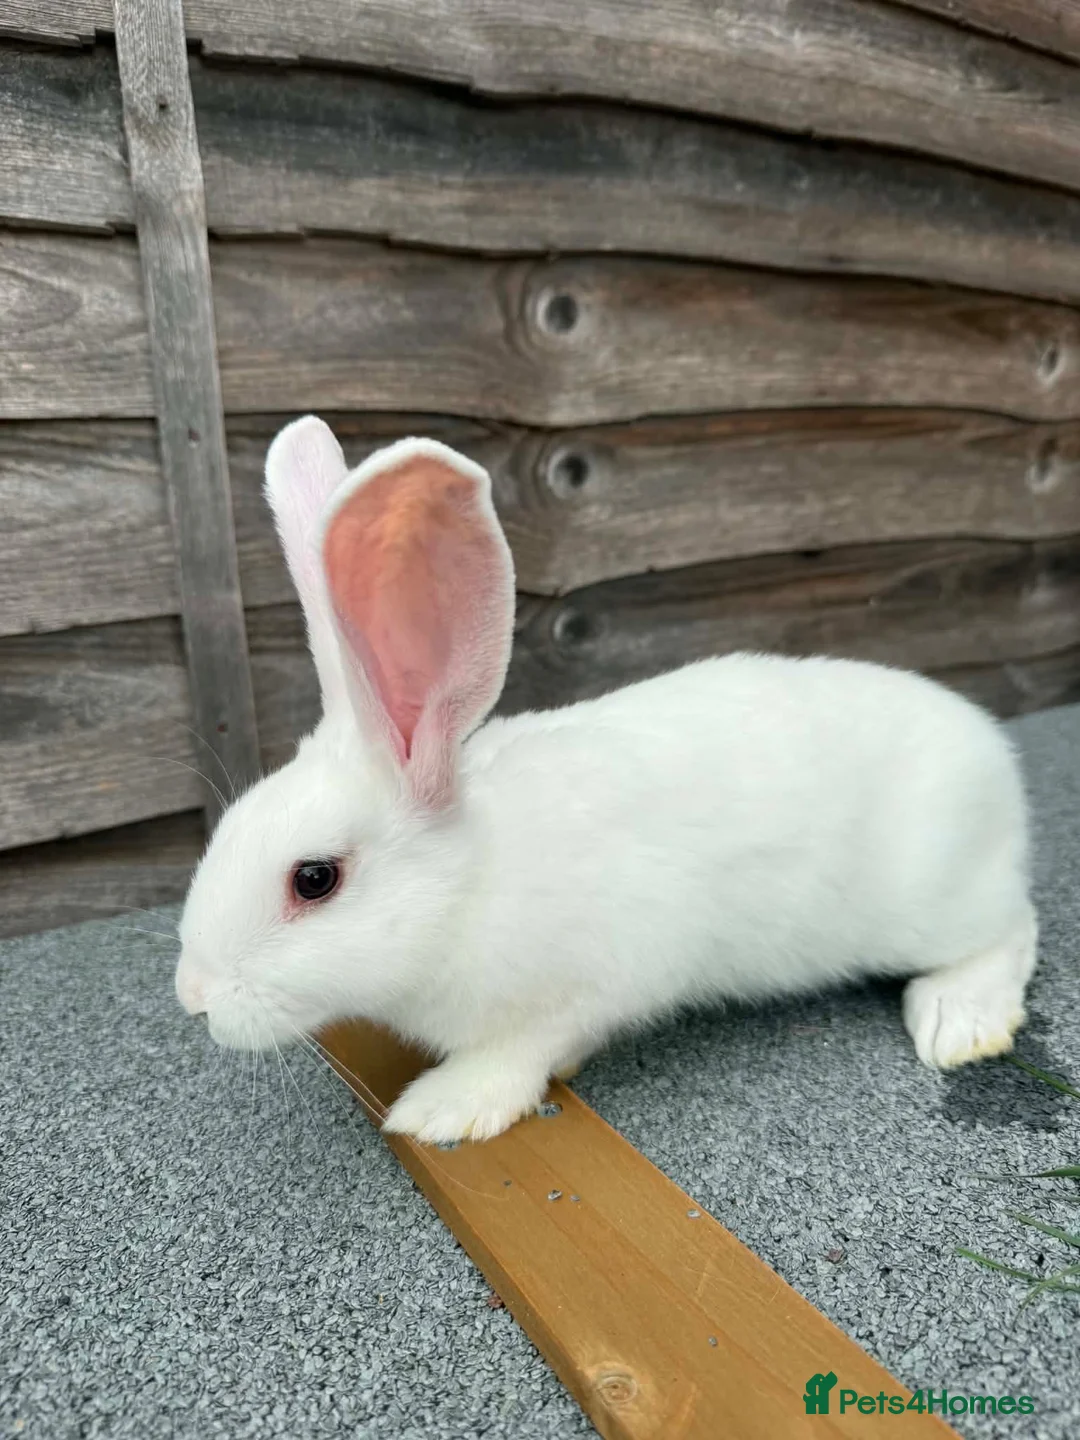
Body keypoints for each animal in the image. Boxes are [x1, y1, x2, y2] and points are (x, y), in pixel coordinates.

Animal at [175, 415, 1038, 1143]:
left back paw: (959, 1022)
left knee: (1012, 928)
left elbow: (523, 1051)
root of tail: (991, 750)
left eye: (314, 879)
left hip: (937, 899)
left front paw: (447, 1108)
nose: (194, 995)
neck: (469, 888)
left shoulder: (597, 980)